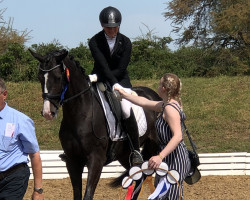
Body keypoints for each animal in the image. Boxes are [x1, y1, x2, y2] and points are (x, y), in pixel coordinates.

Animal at [28, 48, 160, 200]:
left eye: (58, 77)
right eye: (39, 77)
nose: (47, 112)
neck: (80, 114)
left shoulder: (96, 160)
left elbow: (88, 195)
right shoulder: (73, 161)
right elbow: (77, 194)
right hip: (124, 154)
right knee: (138, 176)